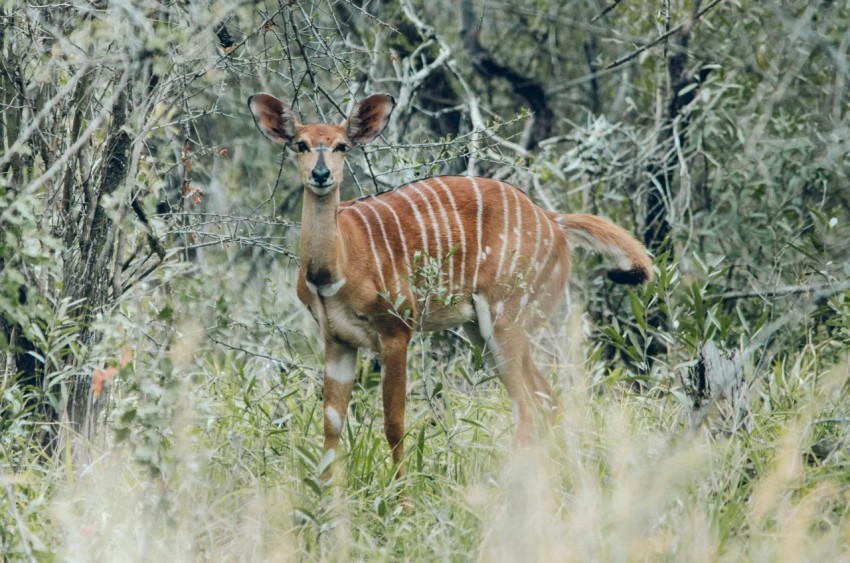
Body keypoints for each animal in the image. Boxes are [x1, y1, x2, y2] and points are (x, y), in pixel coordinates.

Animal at [248, 91, 652, 478]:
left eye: (341, 145)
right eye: (300, 144)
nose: (320, 174)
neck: (336, 269)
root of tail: (554, 221)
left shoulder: (397, 329)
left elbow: (394, 423)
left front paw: (402, 494)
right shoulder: (337, 340)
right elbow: (331, 425)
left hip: (507, 319)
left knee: (527, 406)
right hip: (483, 330)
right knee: (544, 398)